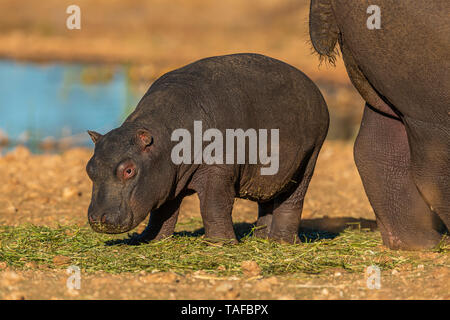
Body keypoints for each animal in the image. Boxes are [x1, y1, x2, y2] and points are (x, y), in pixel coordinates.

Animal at [86, 53, 328, 242]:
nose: (98, 218)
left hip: (310, 158)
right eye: (89, 169)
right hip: (269, 173)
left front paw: (220, 243)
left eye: (129, 170)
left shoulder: (218, 170)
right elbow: (162, 212)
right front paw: (150, 239)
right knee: (267, 200)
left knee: (292, 200)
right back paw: (261, 238)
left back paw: (282, 242)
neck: (163, 136)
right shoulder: (167, 178)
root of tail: (314, 87)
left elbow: (213, 205)